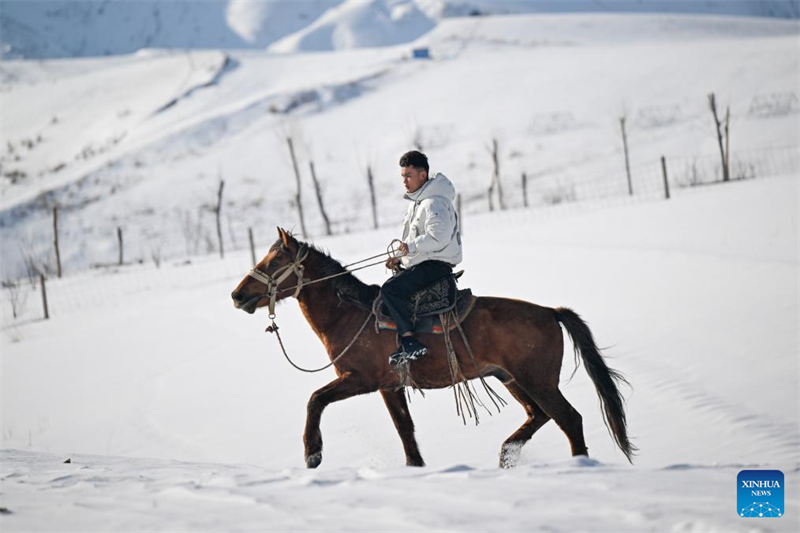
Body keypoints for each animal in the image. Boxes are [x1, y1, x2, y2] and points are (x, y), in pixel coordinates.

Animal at [231, 227, 636, 468]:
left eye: (275, 261)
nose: (237, 295)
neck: (350, 314)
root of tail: (551, 313)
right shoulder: (390, 386)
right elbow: (405, 431)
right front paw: (416, 468)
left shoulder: (360, 379)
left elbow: (315, 399)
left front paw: (312, 452)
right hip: (510, 378)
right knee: (539, 416)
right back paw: (507, 454)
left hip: (537, 380)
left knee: (569, 419)